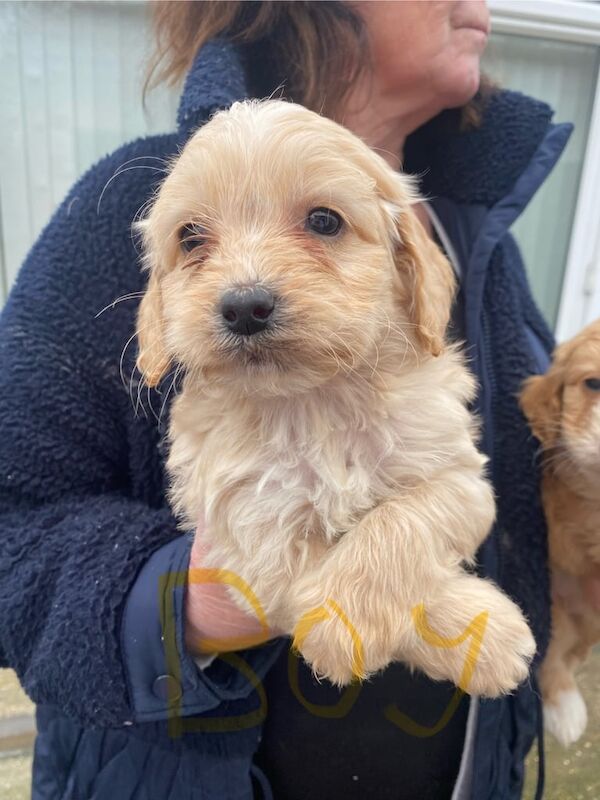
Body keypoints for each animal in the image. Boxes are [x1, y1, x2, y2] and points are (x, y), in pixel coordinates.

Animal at [136, 100, 536, 696]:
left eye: (324, 221)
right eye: (190, 238)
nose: (244, 306)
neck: (313, 401)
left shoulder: (460, 477)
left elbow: (401, 521)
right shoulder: (252, 531)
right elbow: (308, 579)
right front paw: (478, 634)